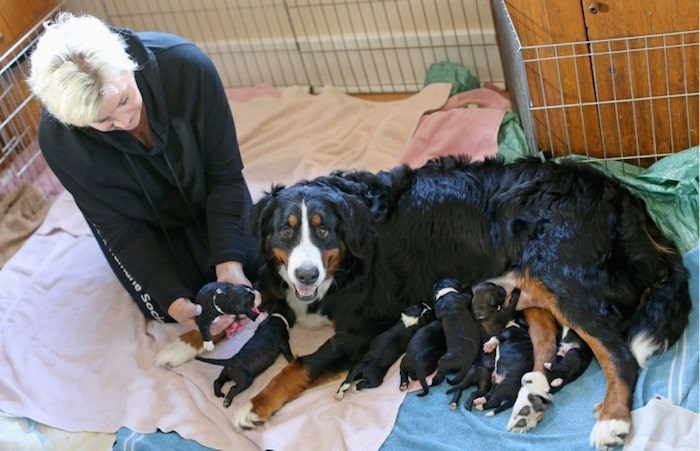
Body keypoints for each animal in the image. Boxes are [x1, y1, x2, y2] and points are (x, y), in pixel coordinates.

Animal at [154, 155, 688, 448]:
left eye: (323, 230)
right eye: (286, 232)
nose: (306, 273)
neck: (343, 267)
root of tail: (627, 201)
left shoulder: (360, 331)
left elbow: (300, 365)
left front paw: (256, 405)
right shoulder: (277, 287)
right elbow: (234, 301)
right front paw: (183, 340)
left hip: (561, 275)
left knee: (617, 355)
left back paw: (612, 421)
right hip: (533, 286)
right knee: (542, 342)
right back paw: (527, 399)